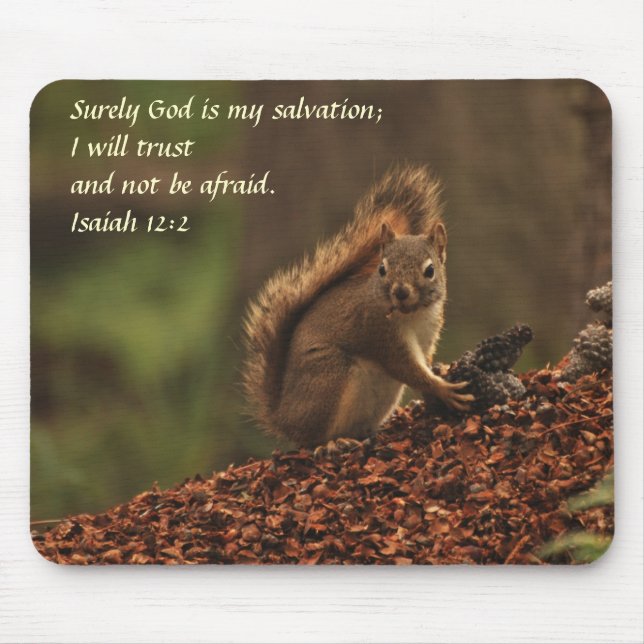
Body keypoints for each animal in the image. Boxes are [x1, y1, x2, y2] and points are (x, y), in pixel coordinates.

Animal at [242, 165, 473, 448]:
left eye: (430, 270)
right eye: (382, 268)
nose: (400, 292)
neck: (413, 314)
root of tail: (284, 418)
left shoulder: (428, 333)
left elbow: (424, 360)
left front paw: (440, 371)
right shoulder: (379, 332)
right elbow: (404, 367)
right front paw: (444, 389)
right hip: (329, 376)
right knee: (313, 438)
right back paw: (330, 444)